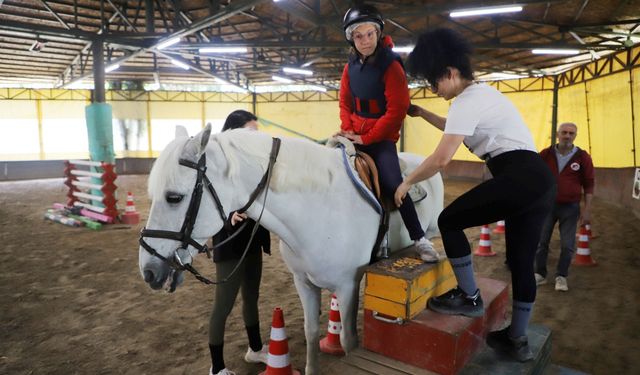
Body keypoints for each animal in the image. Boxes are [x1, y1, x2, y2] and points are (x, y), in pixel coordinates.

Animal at [138, 125, 442, 375]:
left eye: (174, 197)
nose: (148, 270)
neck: (319, 207)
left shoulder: (347, 285)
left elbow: (348, 341)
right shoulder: (303, 283)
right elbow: (311, 332)